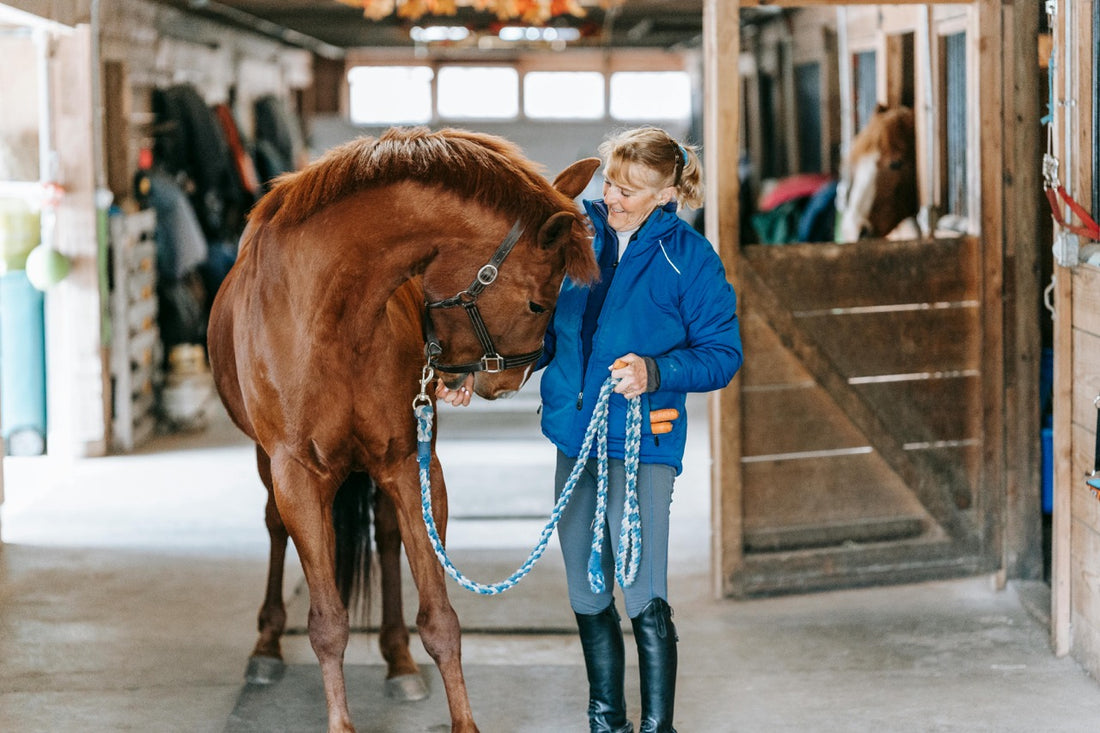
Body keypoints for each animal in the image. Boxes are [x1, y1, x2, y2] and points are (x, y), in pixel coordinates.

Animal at [209, 127, 598, 730]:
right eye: (539, 303)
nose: (508, 382)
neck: (334, 313)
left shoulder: (409, 464)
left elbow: (440, 617)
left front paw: (463, 721)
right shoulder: (296, 475)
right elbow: (327, 623)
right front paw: (340, 723)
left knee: (387, 537)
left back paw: (398, 660)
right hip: (267, 463)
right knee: (275, 528)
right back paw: (267, 647)